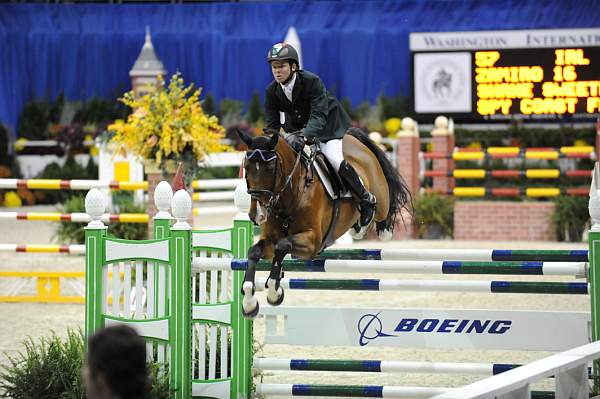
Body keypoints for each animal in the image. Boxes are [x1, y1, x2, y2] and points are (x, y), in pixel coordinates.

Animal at [237, 128, 410, 318]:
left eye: (270, 169)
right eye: (246, 167)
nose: (257, 215)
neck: (292, 194)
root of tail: (353, 138)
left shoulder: (313, 243)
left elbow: (282, 246)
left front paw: (274, 293)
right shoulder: (269, 240)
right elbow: (254, 252)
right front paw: (249, 303)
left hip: (381, 200)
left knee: (381, 207)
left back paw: (379, 224)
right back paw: (359, 227)